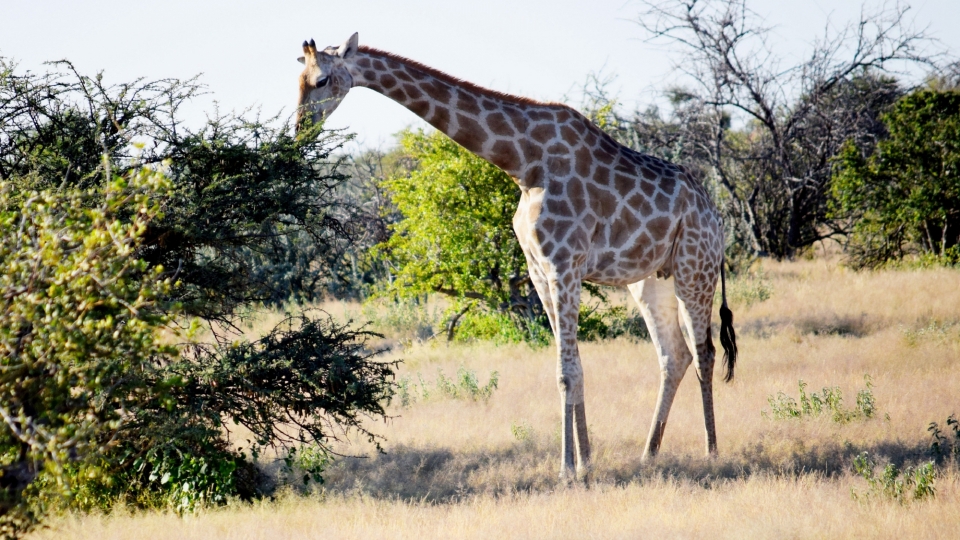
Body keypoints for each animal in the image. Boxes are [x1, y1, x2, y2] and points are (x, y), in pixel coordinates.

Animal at [296, 32, 740, 480]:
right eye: (298, 78)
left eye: (321, 81)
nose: (299, 131)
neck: (524, 164)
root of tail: (717, 217)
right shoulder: (540, 270)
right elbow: (574, 367)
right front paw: (586, 462)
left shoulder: (564, 264)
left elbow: (566, 372)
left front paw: (567, 470)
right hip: (650, 280)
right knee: (674, 356)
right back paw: (649, 453)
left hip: (694, 268)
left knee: (704, 353)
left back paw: (712, 452)